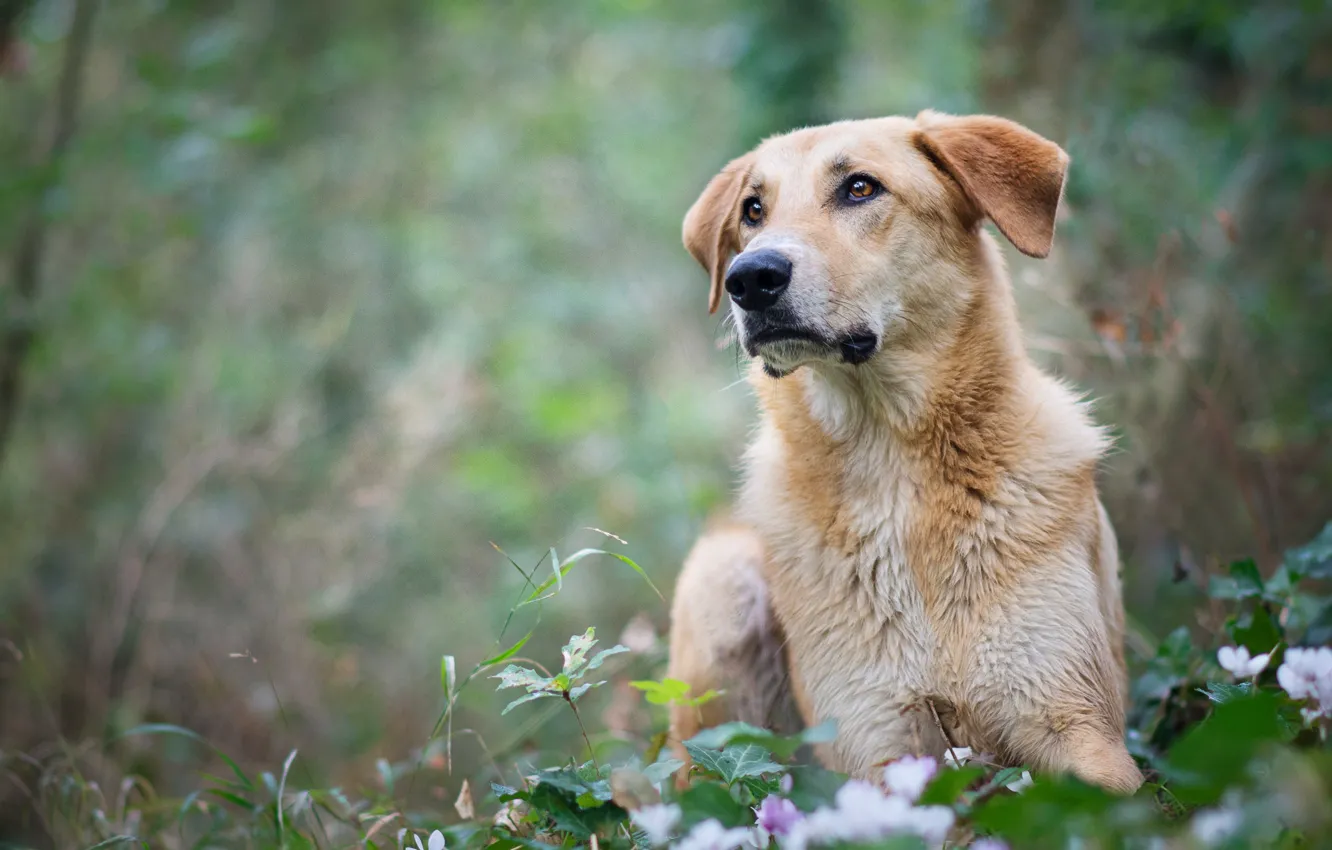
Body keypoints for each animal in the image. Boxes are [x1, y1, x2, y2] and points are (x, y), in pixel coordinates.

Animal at [666, 109, 1145, 794]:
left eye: (860, 188)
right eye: (754, 209)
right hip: (720, 589)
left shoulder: (1077, 724)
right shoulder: (874, 754)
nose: (750, 278)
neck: (890, 463)